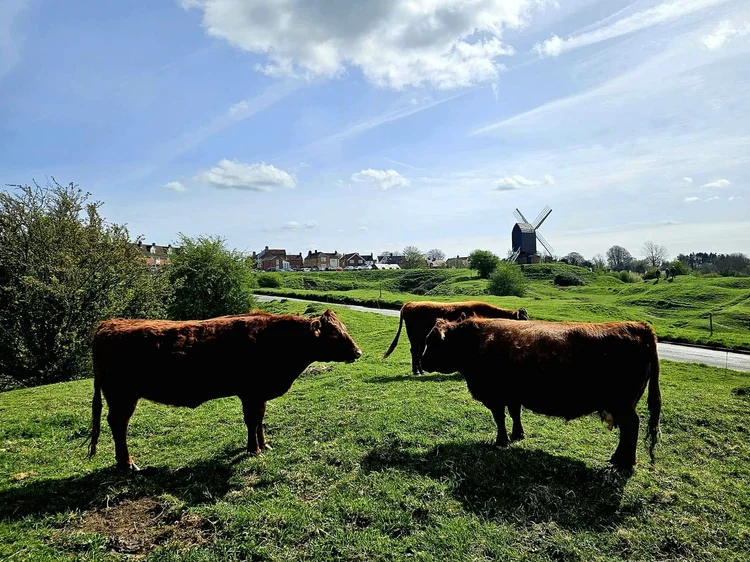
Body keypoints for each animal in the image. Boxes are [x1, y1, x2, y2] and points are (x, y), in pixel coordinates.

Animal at [87, 309, 362, 471]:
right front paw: (254, 450)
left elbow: (260, 421)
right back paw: (127, 463)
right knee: (118, 424)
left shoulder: (259, 394)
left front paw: (265, 445)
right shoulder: (251, 392)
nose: (357, 352)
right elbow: (253, 421)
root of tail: (109, 323)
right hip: (122, 396)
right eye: (335, 334)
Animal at [382, 301, 529, 375]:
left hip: (421, 339)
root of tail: (409, 304)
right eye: (523, 319)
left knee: (417, 352)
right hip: (415, 337)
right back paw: (416, 371)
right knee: (414, 351)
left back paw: (420, 370)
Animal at [420, 315, 661, 470]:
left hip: (623, 405)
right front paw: (517, 435)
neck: (475, 341)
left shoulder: (495, 396)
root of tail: (639, 327)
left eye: (431, 342)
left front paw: (501, 441)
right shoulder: (512, 395)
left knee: (631, 427)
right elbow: (514, 414)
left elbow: (500, 418)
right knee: (628, 430)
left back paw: (624, 462)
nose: (421, 362)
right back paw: (619, 459)